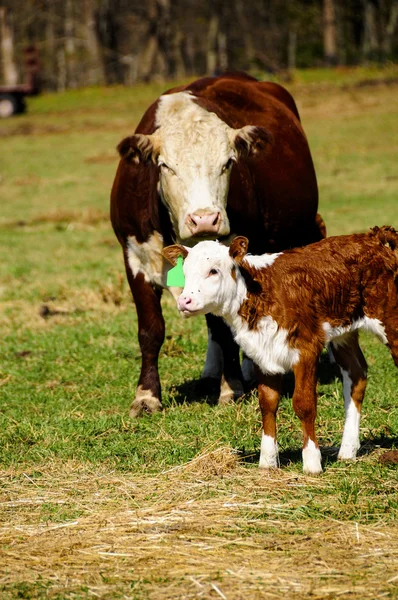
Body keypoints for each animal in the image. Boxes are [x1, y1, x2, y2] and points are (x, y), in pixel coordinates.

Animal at [110, 72, 324, 418]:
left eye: (228, 163)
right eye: (165, 166)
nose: (205, 219)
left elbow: (227, 330)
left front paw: (231, 388)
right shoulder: (135, 259)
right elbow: (151, 329)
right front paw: (146, 396)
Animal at [162, 225, 398, 474]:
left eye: (213, 271)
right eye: (185, 273)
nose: (184, 301)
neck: (261, 292)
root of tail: (373, 236)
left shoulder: (306, 349)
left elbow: (304, 404)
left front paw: (312, 462)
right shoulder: (261, 353)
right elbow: (267, 403)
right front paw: (267, 461)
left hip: (389, 318)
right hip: (344, 332)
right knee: (356, 375)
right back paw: (347, 450)